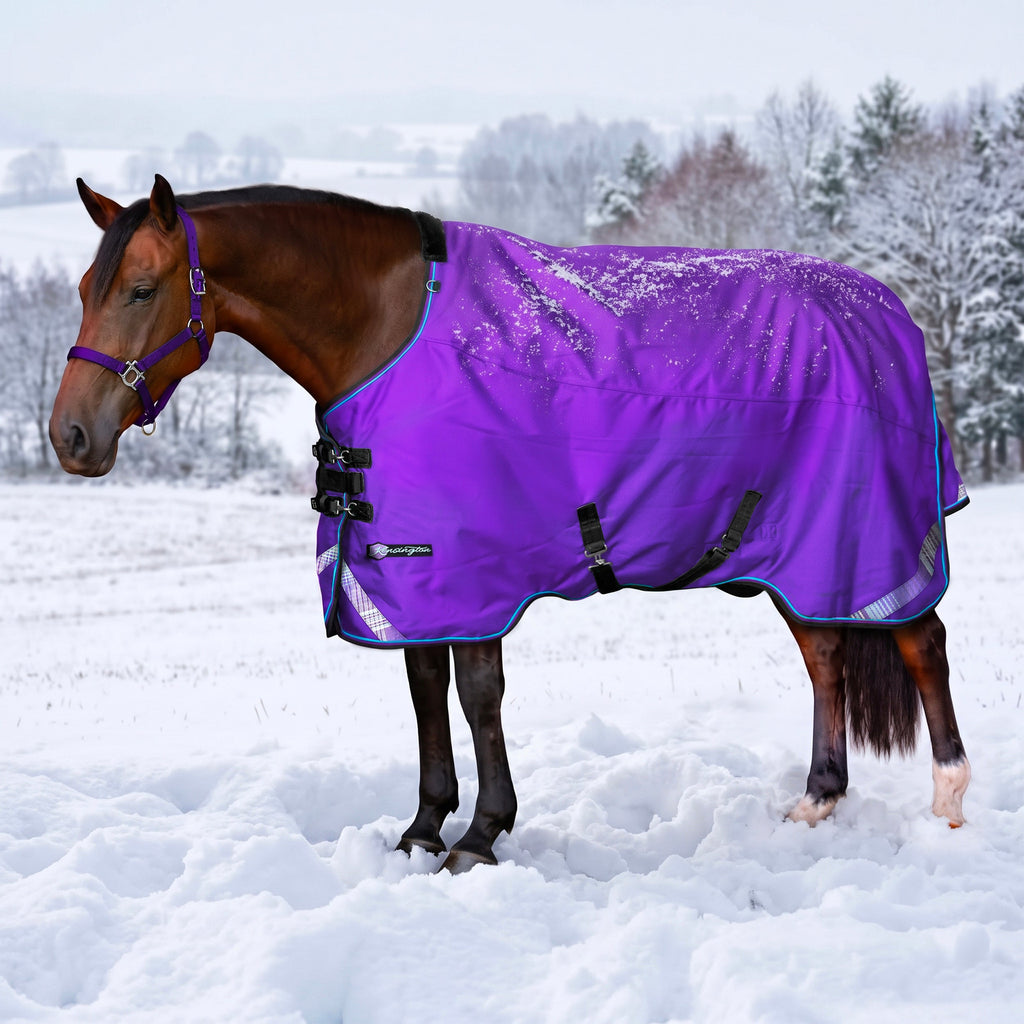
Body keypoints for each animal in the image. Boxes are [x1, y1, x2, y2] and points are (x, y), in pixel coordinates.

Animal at [49, 175, 971, 873]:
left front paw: (482, 835)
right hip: (797, 553)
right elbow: (426, 692)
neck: (389, 326)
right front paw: (423, 830)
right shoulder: (409, 577)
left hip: (874, 537)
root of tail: (888, 313)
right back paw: (817, 800)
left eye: (140, 290)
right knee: (826, 654)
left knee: (921, 643)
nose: (70, 436)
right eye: (85, 291)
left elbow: (477, 694)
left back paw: (950, 804)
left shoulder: (473, 570)